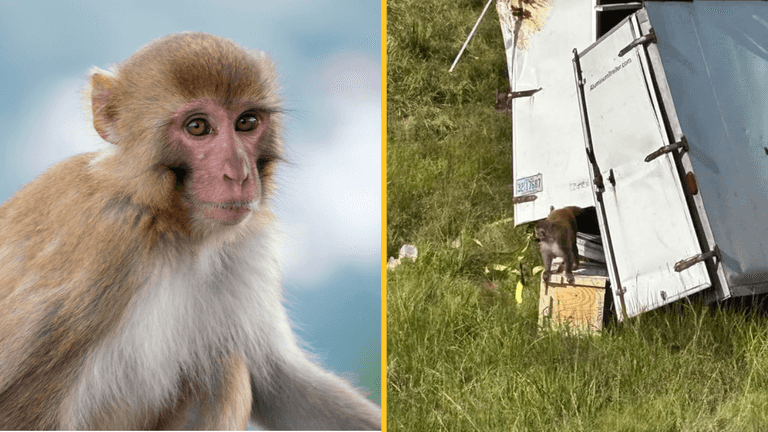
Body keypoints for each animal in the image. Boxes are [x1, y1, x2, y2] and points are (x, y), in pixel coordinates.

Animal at [0, 32, 381, 430]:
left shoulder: (245, 246)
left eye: (247, 121)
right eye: (197, 127)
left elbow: (279, 381)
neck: (173, 227)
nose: (238, 174)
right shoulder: (103, 247)